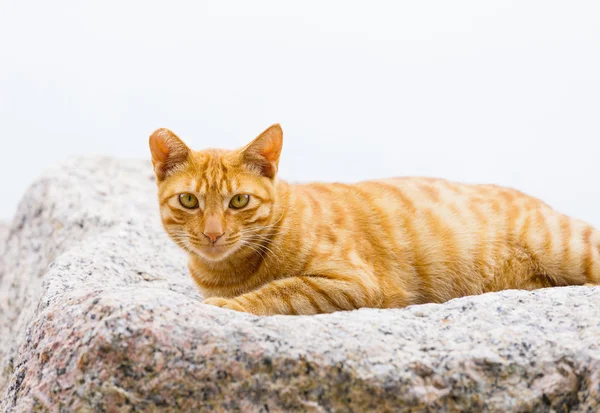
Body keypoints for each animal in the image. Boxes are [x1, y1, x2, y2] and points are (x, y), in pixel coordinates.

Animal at [149, 124, 600, 314]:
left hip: (569, 246)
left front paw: (230, 305)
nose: (213, 234)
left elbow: (278, 291)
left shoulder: (352, 282)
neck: (224, 271)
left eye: (239, 201)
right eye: (189, 201)